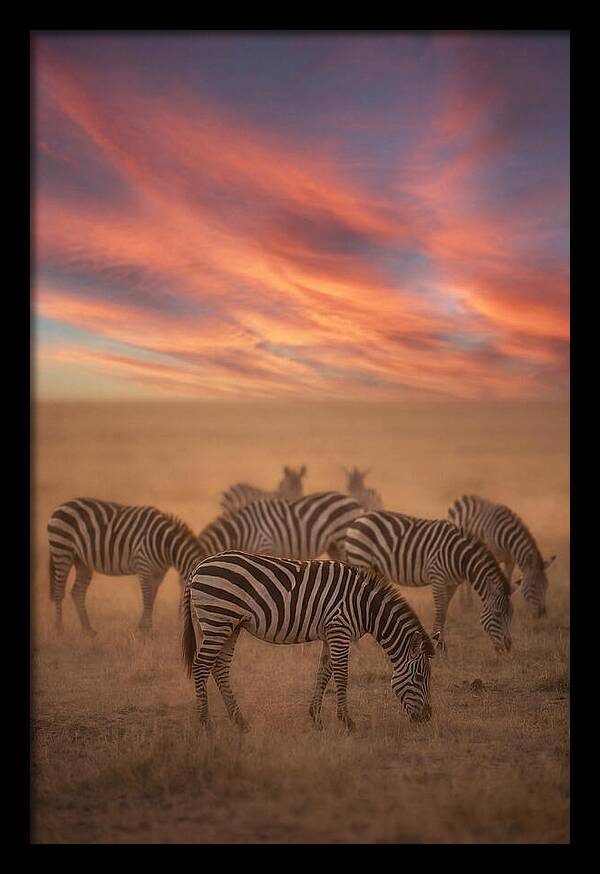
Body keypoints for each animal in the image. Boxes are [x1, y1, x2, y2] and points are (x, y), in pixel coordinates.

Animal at [48, 498, 204, 635]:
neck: (165, 544)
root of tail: (62, 505)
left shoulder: (159, 573)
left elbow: (152, 598)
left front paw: (143, 628)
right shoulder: (143, 565)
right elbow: (147, 597)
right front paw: (146, 631)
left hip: (82, 561)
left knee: (77, 592)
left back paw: (88, 630)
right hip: (62, 550)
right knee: (59, 590)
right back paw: (59, 629)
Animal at [181, 550, 438, 731]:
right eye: (419, 677)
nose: (427, 717)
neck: (365, 606)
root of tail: (198, 567)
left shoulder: (330, 634)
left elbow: (324, 673)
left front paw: (316, 718)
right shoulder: (339, 629)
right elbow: (342, 675)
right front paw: (347, 721)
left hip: (229, 625)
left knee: (220, 667)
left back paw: (240, 721)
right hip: (218, 619)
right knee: (201, 666)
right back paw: (205, 722)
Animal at [341, 511, 517, 654]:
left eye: (511, 614)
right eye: (497, 614)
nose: (508, 648)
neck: (460, 557)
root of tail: (359, 519)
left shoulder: (452, 584)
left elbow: (444, 612)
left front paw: (441, 645)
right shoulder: (437, 577)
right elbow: (439, 612)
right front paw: (439, 646)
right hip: (361, 558)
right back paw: (357, 646)